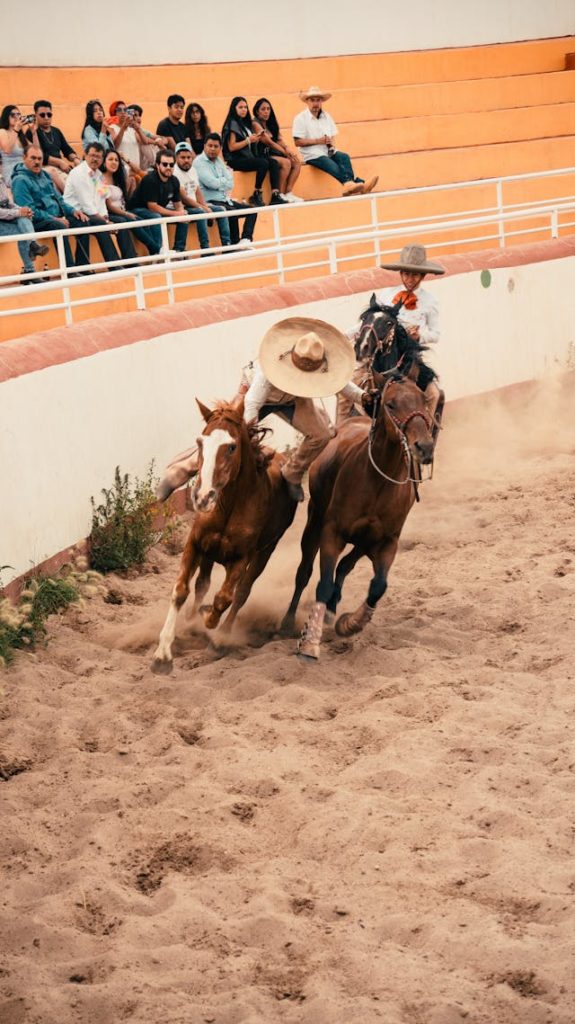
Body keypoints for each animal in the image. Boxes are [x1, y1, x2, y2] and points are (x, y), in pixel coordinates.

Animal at [151, 393, 294, 671]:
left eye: (231, 447)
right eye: (200, 442)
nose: (202, 497)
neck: (229, 506)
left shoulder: (242, 557)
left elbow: (225, 597)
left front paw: (209, 621)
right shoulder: (195, 544)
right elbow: (181, 590)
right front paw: (163, 651)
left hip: (265, 551)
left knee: (241, 593)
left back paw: (220, 637)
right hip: (210, 553)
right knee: (202, 585)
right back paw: (190, 621)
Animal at [280, 372, 433, 659]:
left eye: (423, 399)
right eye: (391, 404)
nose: (425, 447)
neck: (377, 481)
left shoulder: (387, 541)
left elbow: (378, 586)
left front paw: (351, 624)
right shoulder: (332, 533)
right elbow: (322, 583)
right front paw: (309, 642)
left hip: (363, 542)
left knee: (345, 567)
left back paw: (332, 610)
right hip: (314, 522)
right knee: (304, 572)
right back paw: (287, 622)